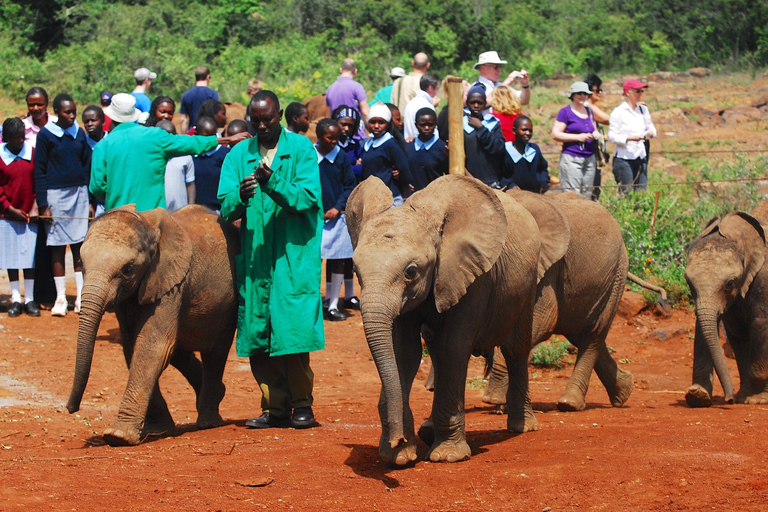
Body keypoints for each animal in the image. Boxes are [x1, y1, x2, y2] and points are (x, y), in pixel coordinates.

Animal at [67, 204, 238, 444]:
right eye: (81, 263)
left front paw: (118, 436)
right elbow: (133, 346)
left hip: (227, 306)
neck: (146, 223)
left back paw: (208, 422)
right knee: (180, 351)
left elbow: (152, 346)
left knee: (215, 354)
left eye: (128, 269)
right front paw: (159, 430)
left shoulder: (170, 283)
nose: (71, 408)